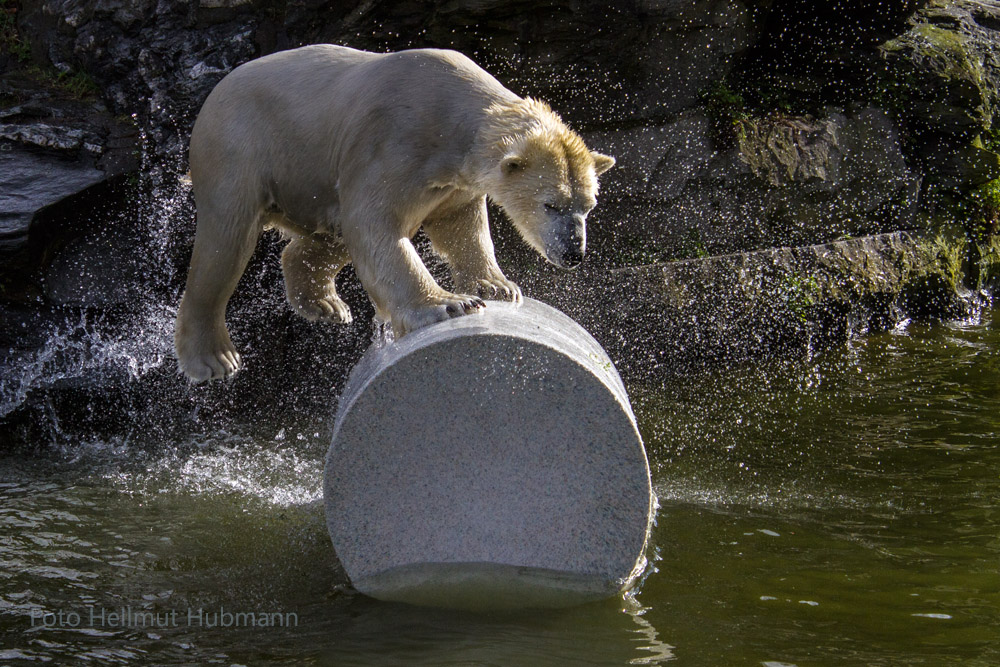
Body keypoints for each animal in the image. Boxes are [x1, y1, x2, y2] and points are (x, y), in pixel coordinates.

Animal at [176, 43, 612, 380]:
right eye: (550, 204)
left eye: (589, 206)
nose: (573, 252)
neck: (450, 118)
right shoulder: (394, 140)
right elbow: (376, 222)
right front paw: (449, 303)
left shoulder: (454, 181)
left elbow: (461, 226)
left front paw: (498, 286)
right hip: (241, 148)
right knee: (226, 240)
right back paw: (213, 359)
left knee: (328, 236)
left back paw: (325, 304)